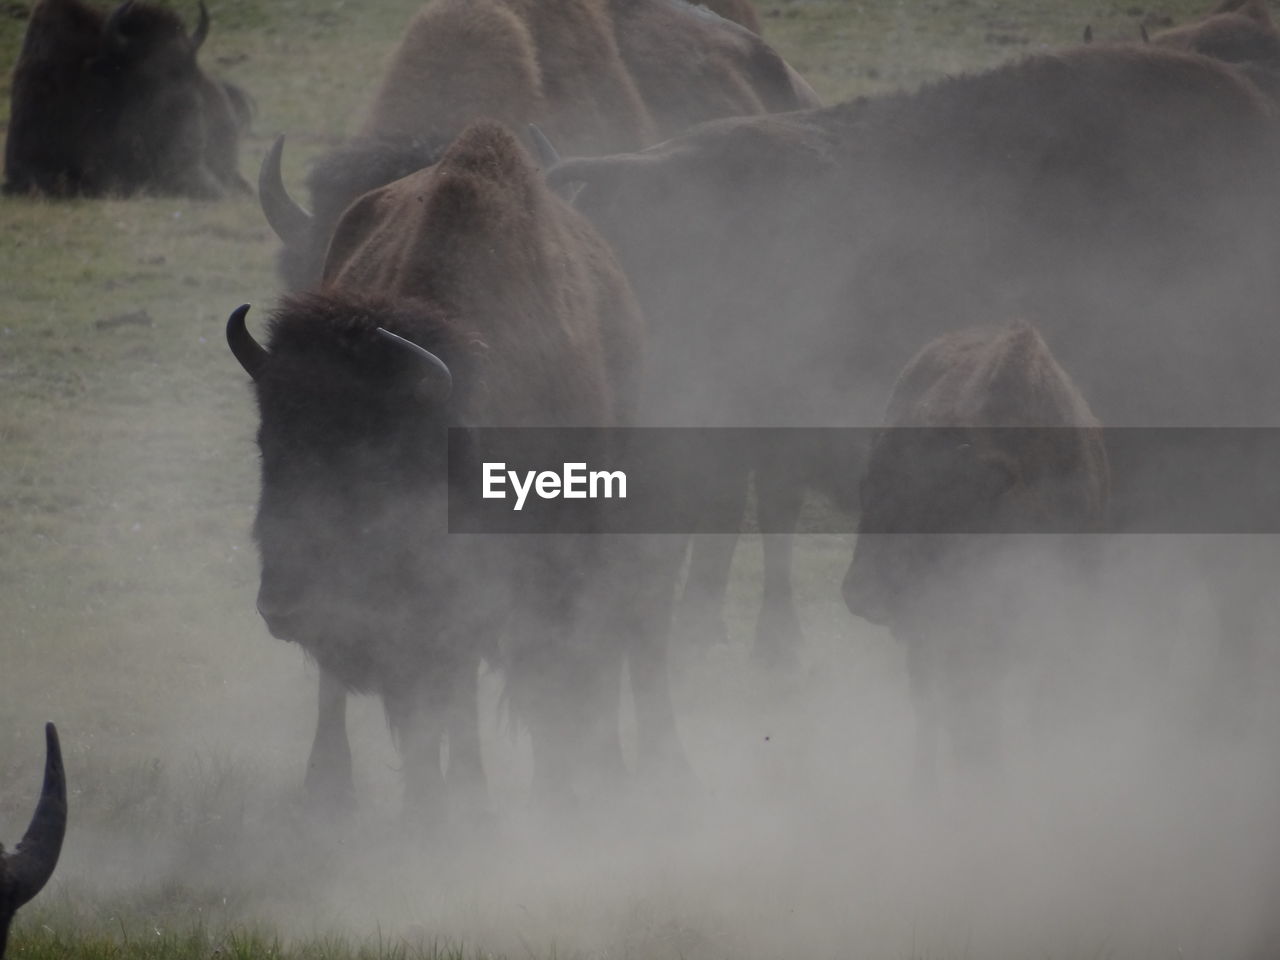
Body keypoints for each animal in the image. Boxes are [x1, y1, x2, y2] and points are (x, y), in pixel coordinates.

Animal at [231, 116, 691, 814]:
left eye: (377, 466)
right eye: (268, 444)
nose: (282, 607)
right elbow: (443, 695)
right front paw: (447, 807)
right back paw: (331, 786)